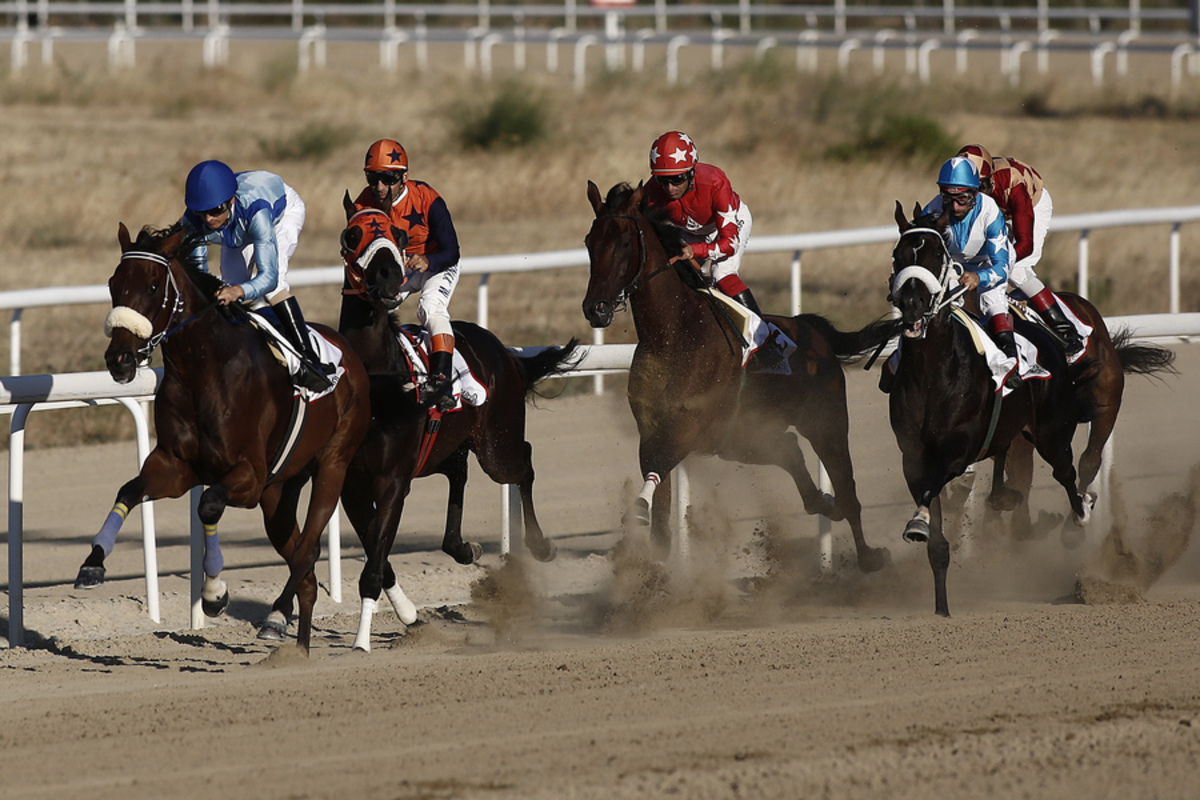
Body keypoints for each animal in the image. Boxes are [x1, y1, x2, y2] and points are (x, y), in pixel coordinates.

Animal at [75, 221, 369, 652]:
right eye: (114, 284)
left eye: (152, 286)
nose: (119, 360)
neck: (203, 370)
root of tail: (348, 351)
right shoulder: (176, 467)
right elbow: (129, 490)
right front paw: (92, 564)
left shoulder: (248, 475)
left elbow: (209, 505)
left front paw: (214, 594)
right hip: (278, 492)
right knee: (305, 571)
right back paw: (299, 649)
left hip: (333, 463)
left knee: (307, 550)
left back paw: (275, 617)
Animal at [338, 211, 580, 652]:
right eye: (353, 234)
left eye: (398, 235)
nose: (388, 276)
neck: (379, 384)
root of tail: (504, 351)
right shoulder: (351, 485)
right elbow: (379, 557)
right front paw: (409, 615)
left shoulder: (394, 481)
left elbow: (375, 563)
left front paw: (361, 642)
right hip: (448, 446)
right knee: (459, 475)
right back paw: (463, 547)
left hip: (496, 445)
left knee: (524, 463)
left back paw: (540, 546)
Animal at [576, 181, 897, 573]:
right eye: (590, 241)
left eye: (624, 241)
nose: (596, 308)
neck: (674, 334)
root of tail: (814, 330)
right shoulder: (651, 429)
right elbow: (659, 496)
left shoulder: (690, 425)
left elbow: (661, 465)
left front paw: (636, 511)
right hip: (744, 438)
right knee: (790, 449)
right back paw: (824, 503)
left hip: (827, 424)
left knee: (848, 490)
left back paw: (869, 555)